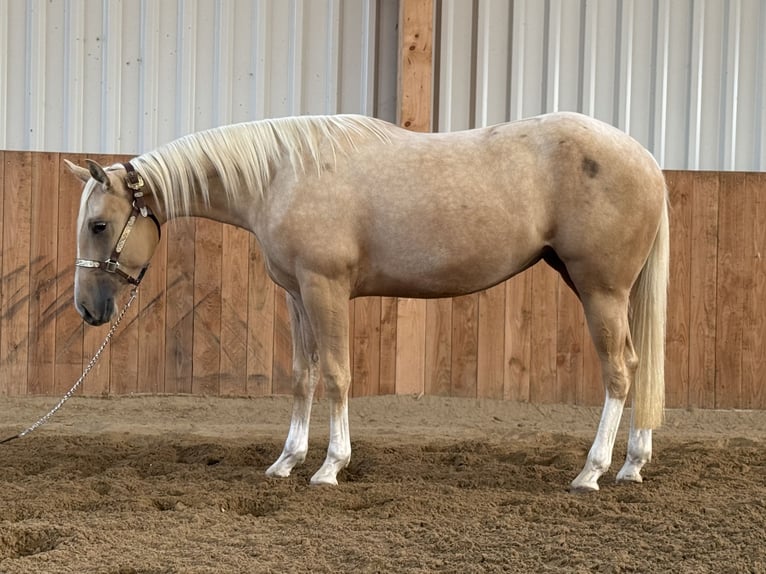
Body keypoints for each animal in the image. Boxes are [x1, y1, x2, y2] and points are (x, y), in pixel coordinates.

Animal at [66, 111, 668, 492]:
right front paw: (286, 460)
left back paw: (591, 472)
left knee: (619, 370)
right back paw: (632, 465)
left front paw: (330, 466)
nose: (88, 310)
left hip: (601, 290)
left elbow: (336, 375)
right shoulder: (297, 294)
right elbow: (302, 376)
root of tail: (646, 160)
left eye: (99, 225)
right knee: (638, 365)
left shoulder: (325, 288)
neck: (283, 175)